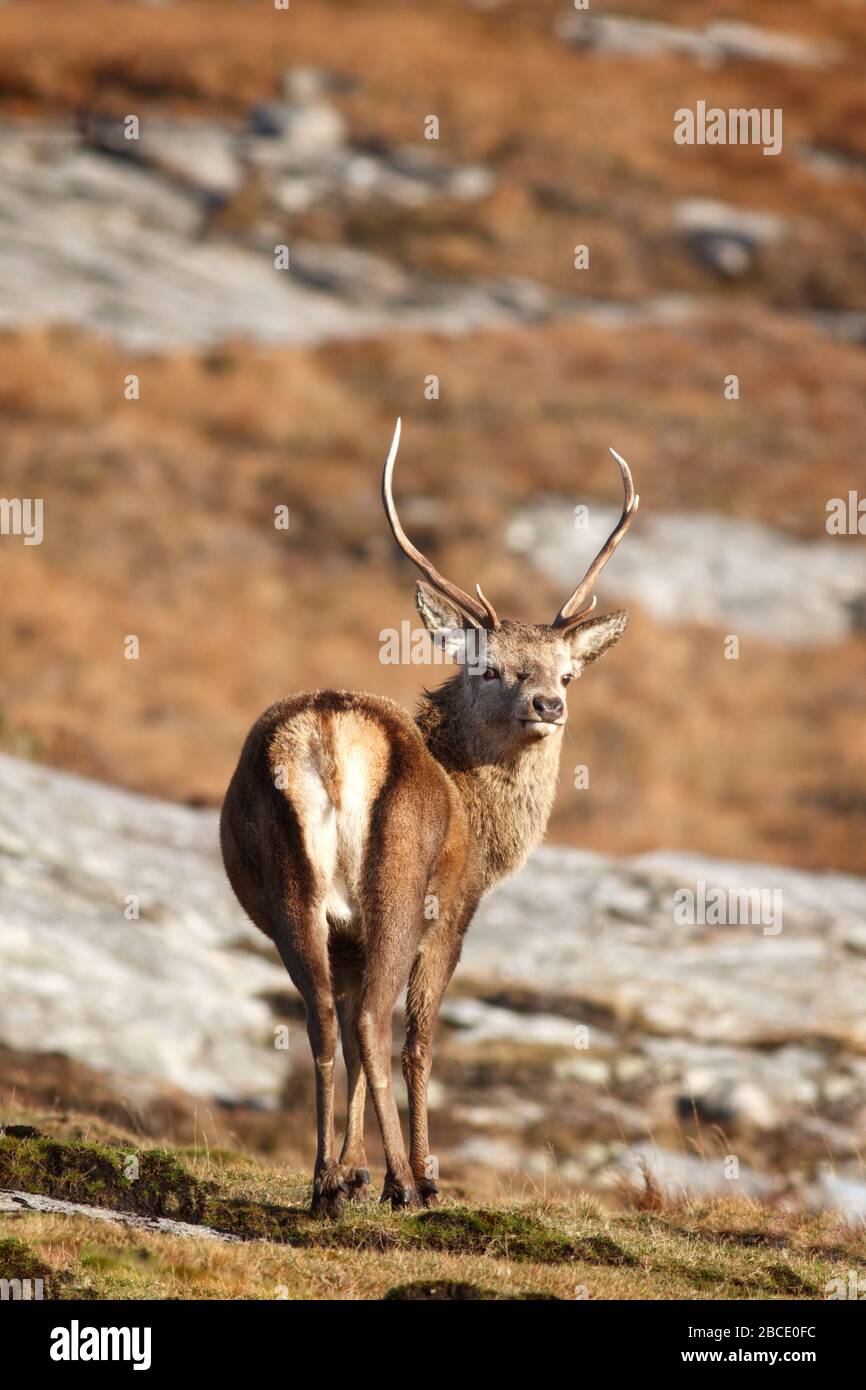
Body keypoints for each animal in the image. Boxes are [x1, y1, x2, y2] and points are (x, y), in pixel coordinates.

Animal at [218, 419, 636, 1217]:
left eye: (567, 672)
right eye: (491, 668)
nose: (548, 704)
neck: (485, 825)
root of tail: (327, 734)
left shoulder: (345, 935)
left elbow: (351, 1036)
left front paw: (348, 1168)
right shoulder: (457, 909)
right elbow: (417, 1039)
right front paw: (415, 1173)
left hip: (292, 889)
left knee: (325, 1018)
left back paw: (322, 1186)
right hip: (398, 884)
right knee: (376, 1022)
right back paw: (405, 1185)